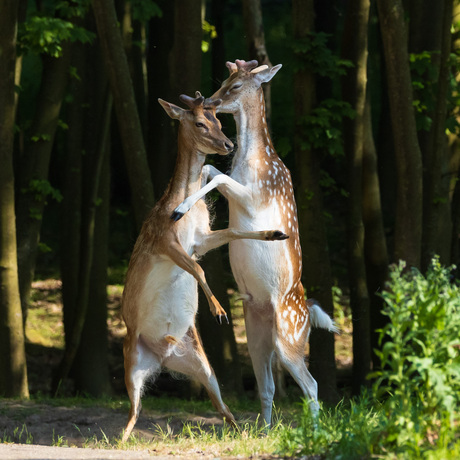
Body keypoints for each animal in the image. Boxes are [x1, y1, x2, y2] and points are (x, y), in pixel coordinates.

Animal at [122, 91, 288, 440]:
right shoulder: (165, 242)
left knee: (222, 407)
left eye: (219, 121)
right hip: (130, 362)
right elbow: (197, 269)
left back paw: (243, 431)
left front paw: (276, 233)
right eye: (200, 122)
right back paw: (120, 440)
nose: (228, 144)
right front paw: (219, 310)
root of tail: (163, 358)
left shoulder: (200, 239)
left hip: (204, 366)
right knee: (133, 411)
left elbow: (233, 232)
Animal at [172, 62, 338, 428]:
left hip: (289, 338)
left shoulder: (256, 195)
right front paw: (183, 206)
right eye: (225, 79)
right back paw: (264, 431)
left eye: (235, 86)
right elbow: (210, 168)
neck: (253, 163)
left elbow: (217, 174)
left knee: (312, 384)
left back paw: (315, 431)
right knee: (268, 386)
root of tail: (309, 315)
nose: (212, 101)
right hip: (255, 334)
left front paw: (180, 209)